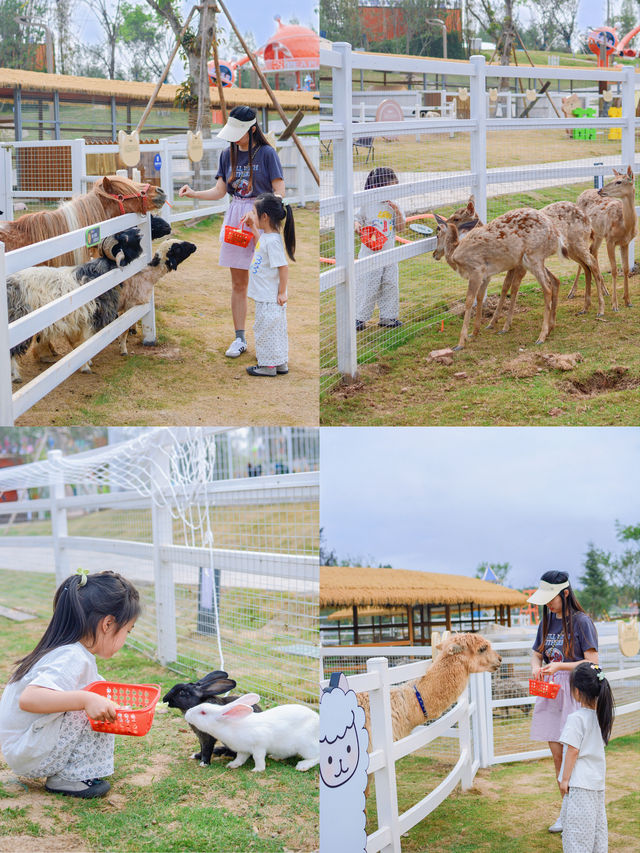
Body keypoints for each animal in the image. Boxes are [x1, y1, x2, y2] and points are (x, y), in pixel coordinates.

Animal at [184, 692, 318, 772]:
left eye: (203, 712)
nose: (187, 713)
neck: (230, 725)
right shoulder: (243, 750)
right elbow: (240, 758)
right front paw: (232, 765)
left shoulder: (259, 745)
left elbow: (258, 757)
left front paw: (257, 770)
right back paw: (275, 757)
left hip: (306, 746)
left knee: (317, 757)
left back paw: (302, 766)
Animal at [436, 205, 564, 348]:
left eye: (437, 234)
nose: (435, 254)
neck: (455, 255)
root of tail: (557, 237)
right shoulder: (486, 275)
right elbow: (482, 296)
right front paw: (475, 332)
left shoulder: (477, 270)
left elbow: (470, 300)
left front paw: (461, 342)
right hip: (536, 260)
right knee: (554, 281)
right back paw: (550, 328)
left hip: (532, 257)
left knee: (546, 287)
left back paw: (541, 336)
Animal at [568, 166, 636, 310]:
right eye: (613, 179)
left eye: (619, 181)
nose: (600, 190)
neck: (625, 226)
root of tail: (582, 193)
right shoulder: (610, 240)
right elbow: (614, 270)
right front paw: (615, 304)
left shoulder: (625, 242)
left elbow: (626, 269)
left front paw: (627, 300)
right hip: (581, 232)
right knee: (585, 255)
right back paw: (572, 291)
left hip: (598, 234)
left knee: (593, 251)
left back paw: (604, 289)